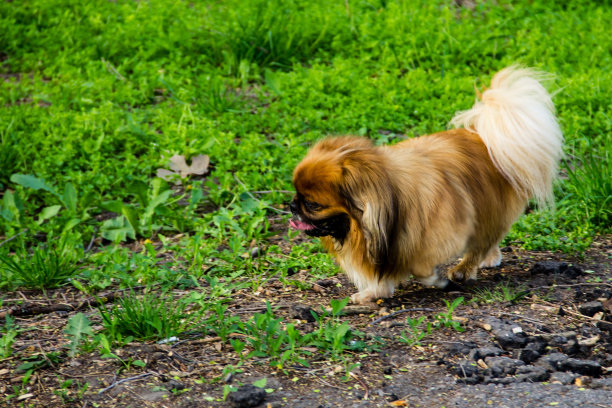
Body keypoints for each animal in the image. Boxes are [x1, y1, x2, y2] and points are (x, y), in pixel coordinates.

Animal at [290, 66, 560, 302]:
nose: (292, 206)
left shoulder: (445, 236)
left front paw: (438, 281)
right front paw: (373, 293)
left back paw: (463, 270)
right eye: (296, 195)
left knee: (481, 242)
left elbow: (419, 267)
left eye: (312, 204)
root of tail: (483, 137)